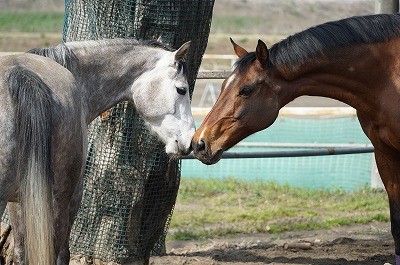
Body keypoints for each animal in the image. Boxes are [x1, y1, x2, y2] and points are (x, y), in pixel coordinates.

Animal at [0, 39, 195, 264]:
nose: (190, 141)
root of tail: (23, 74)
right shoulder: (73, 199)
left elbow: (21, 253)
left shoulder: (18, 203)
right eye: (181, 90)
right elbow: (62, 254)